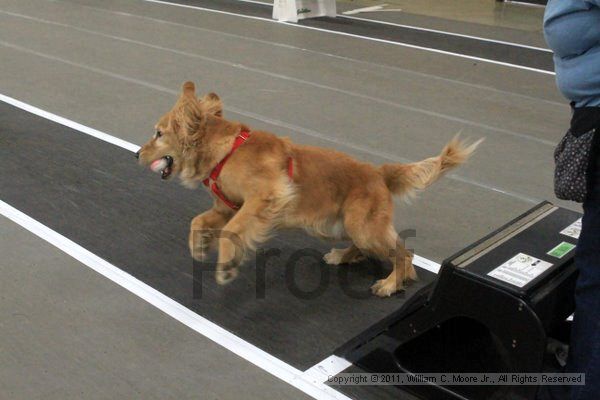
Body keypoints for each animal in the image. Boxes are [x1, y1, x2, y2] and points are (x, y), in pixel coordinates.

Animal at [137, 82, 482, 296]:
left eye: (158, 134)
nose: (137, 154)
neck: (227, 150)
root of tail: (379, 172)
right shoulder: (226, 207)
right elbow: (198, 221)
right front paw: (198, 245)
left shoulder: (265, 198)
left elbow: (232, 231)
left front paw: (227, 266)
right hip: (341, 225)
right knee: (365, 248)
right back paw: (343, 256)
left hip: (363, 225)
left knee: (404, 253)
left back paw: (390, 283)